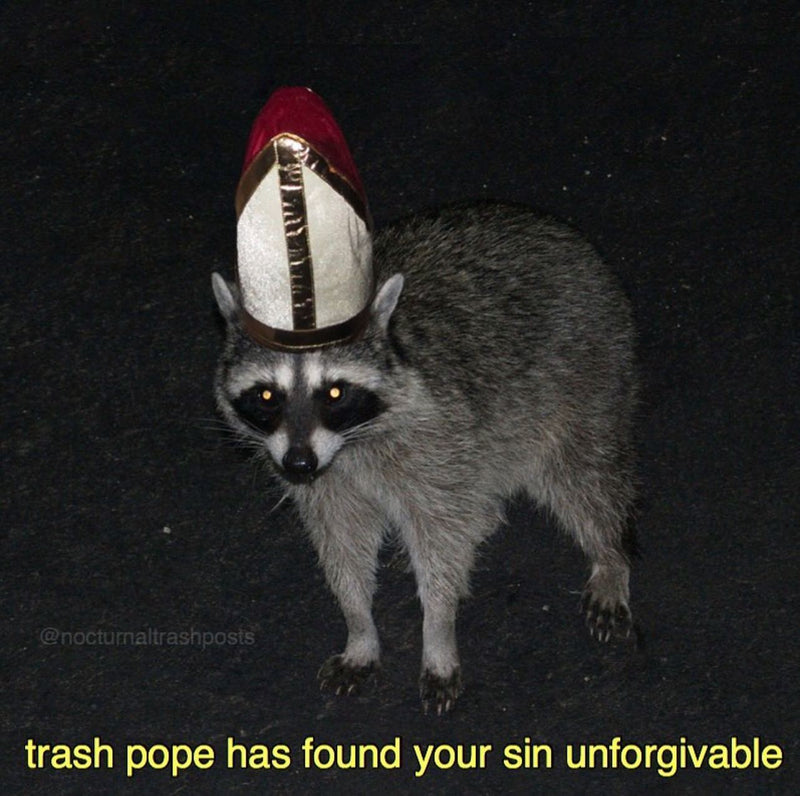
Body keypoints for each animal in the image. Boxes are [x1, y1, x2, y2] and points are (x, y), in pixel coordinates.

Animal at [212, 202, 637, 713]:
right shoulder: (330, 479)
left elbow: (440, 542)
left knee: (582, 476)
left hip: (587, 373)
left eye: (334, 392)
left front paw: (437, 629)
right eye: (267, 396)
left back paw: (610, 554)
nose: (298, 466)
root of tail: (560, 231)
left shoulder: (434, 435)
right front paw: (358, 624)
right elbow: (342, 544)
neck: (350, 443)